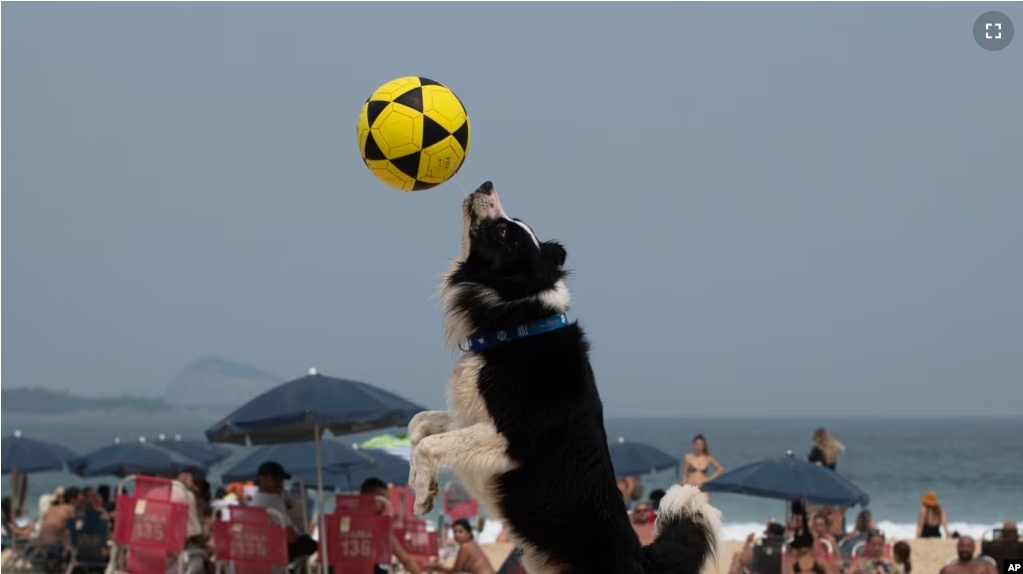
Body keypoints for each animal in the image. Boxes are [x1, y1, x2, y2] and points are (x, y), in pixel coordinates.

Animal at [407, 180, 720, 572]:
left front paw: (421, 490)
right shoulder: (471, 416)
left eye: (503, 232)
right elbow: (418, 425)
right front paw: (419, 485)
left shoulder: (514, 436)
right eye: (511, 225)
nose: (486, 184)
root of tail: (642, 557)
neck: (517, 325)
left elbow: (431, 443)